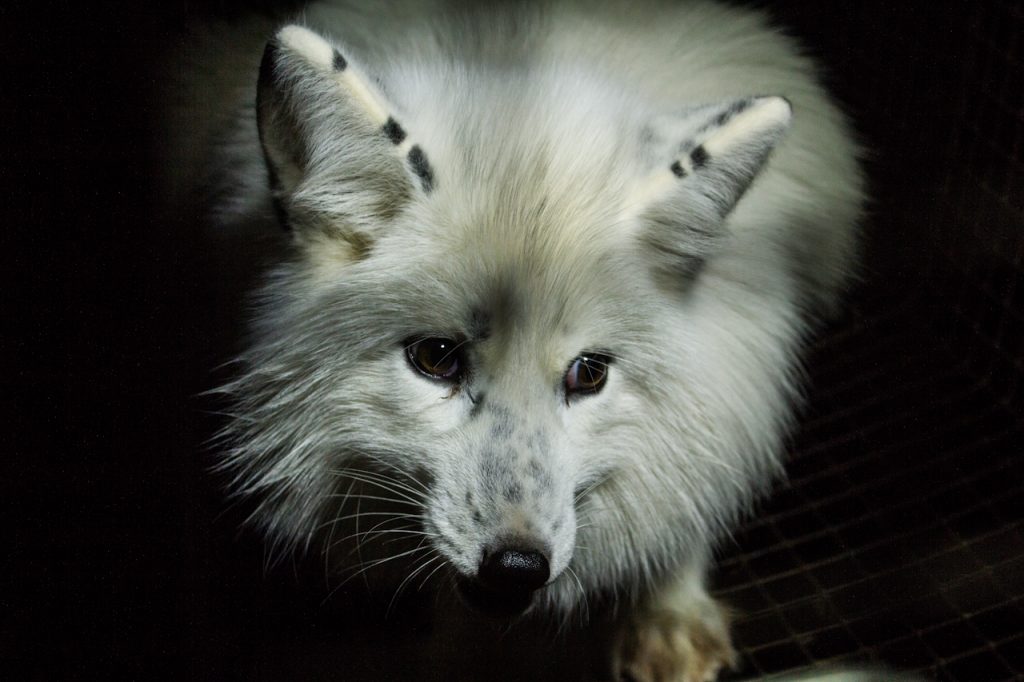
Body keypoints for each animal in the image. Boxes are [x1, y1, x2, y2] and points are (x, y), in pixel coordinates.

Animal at [165, 1, 909, 679]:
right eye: (436, 358)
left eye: (589, 374)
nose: (517, 567)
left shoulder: (734, 367)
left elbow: (691, 489)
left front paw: (667, 610)